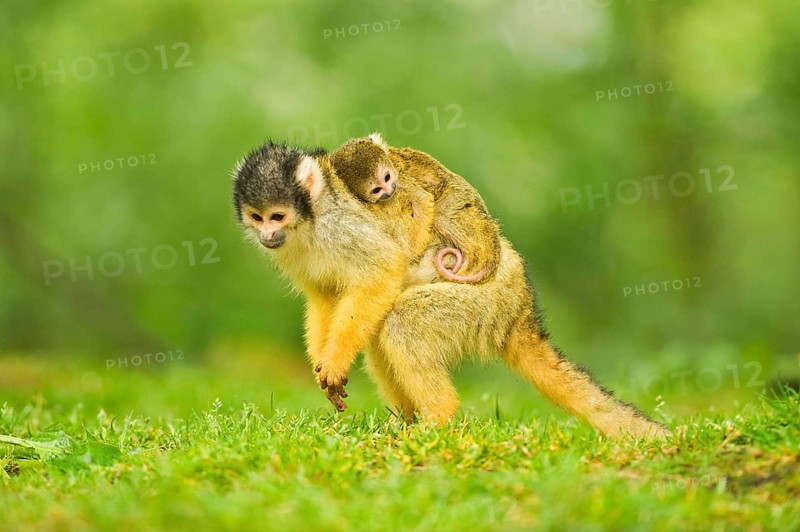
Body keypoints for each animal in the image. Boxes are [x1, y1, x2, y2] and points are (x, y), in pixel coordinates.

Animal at [330, 134, 501, 284]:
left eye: (387, 177)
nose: (390, 190)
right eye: (377, 190)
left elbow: (423, 199)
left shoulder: (401, 180)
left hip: (460, 196)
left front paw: (414, 252)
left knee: (441, 217)